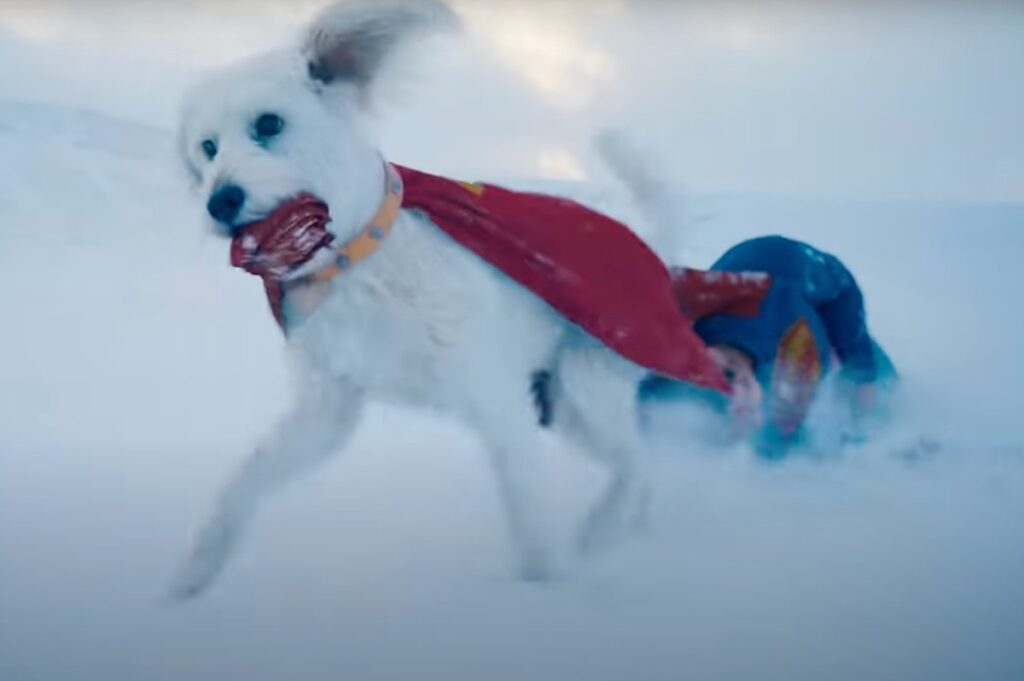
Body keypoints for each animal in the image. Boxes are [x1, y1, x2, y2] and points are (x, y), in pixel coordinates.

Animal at [172, 0, 684, 598]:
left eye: (268, 124)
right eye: (207, 147)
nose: (218, 202)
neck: (359, 264)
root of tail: (655, 253)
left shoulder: (498, 403)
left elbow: (531, 520)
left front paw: (546, 590)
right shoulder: (327, 409)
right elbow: (246, 478)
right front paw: (197, 569)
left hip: (587, 390)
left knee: (638, 465)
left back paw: (603, 534)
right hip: (565, 402)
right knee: (639, 468)